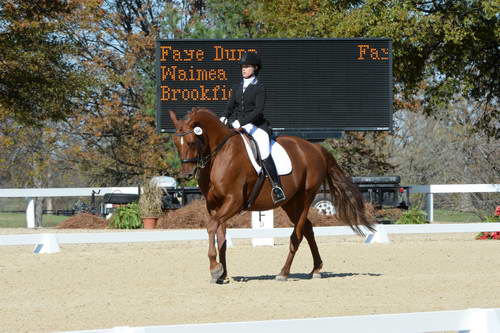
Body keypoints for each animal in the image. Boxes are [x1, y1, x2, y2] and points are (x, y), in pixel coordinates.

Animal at [170, 107, 374, 282]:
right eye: (175, 143)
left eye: (191, 142)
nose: (186, 174)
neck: (220, 154)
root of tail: (317, 148)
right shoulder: (214, 205)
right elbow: (221, 237)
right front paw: (223, 274)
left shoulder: (234, 201)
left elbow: (212, 226)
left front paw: (215, 268)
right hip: (290, 203)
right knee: (308, 228)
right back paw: (316, 269)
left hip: (306, 197)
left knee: (297, 234)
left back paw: (284, 272)